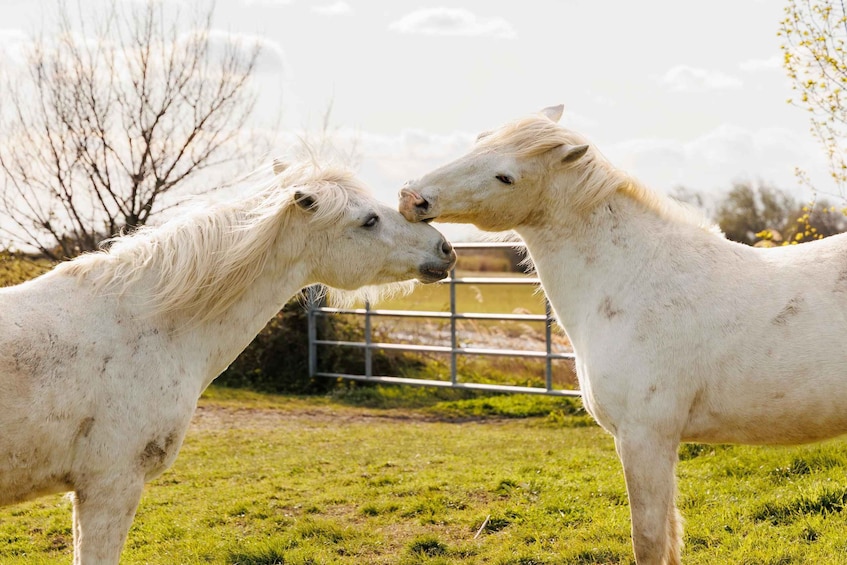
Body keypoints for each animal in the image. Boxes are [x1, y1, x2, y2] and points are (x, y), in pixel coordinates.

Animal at [399, 105, 847, 564]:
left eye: (505, 177)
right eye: (480, 140)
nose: (411, 198)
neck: (633, 277)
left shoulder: (644, 439)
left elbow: (648, 539)